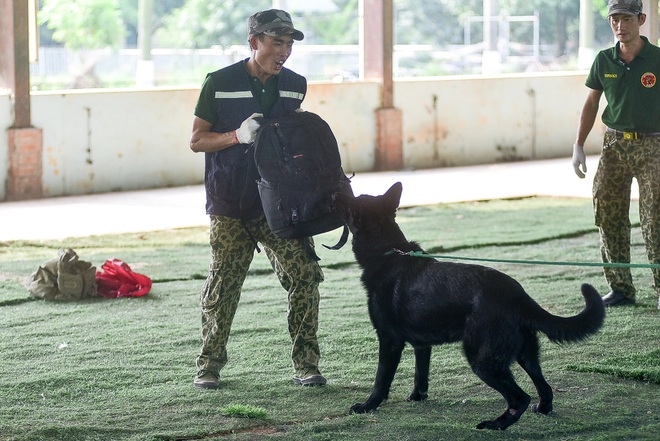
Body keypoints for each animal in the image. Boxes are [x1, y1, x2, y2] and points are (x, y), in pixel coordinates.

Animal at [336, 181, 604, 430]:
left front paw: (368, 406)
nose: (337, 193)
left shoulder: (389, 340)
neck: (387, 252)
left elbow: (381, 379)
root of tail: (516, 294)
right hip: (525, 354)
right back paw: (541, 409)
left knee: (520, 398)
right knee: (545, 388)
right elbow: (420, 375)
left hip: (482, 360)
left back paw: (497, 425)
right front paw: (417, 397)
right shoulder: (422, 345)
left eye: (352, 203)